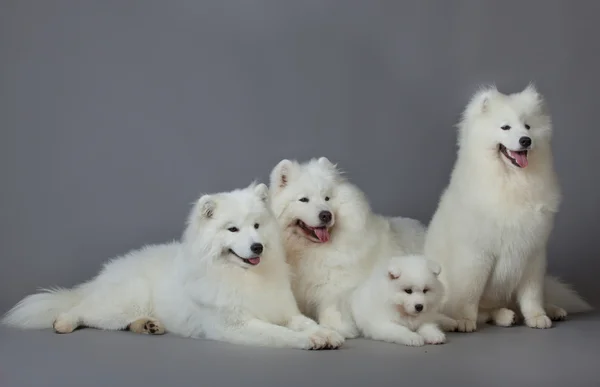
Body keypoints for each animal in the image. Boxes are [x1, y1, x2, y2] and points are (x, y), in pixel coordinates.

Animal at [2, 183, 344, 350]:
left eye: (257, 226)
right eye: (233, 230)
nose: (257, 247)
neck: (241, 276)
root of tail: (108, 271)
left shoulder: (285, 311)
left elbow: (303, 322)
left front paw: (325, 332)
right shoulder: (235, 325)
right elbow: (279, 333)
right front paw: (312, 341)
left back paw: (148, 326)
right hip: (124, 301)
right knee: (83, 309)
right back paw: (64, 322)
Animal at [268, 158, 426, 340]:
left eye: (327, 198)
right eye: (304, 200)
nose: (326, 215)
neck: (308, 249)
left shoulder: (337, 285)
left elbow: (331, 305)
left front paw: (336, 328)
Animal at [424, 85, 592, 334]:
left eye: (528, 126)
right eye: (505, 127)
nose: (526, 140)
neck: (513, 182)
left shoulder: (533, 253)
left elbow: (532, 295)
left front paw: (537, 317)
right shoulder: (477, 255)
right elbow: (469, 293)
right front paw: (464, 320)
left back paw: (551, 310)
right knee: (486, 312)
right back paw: (504, 316)